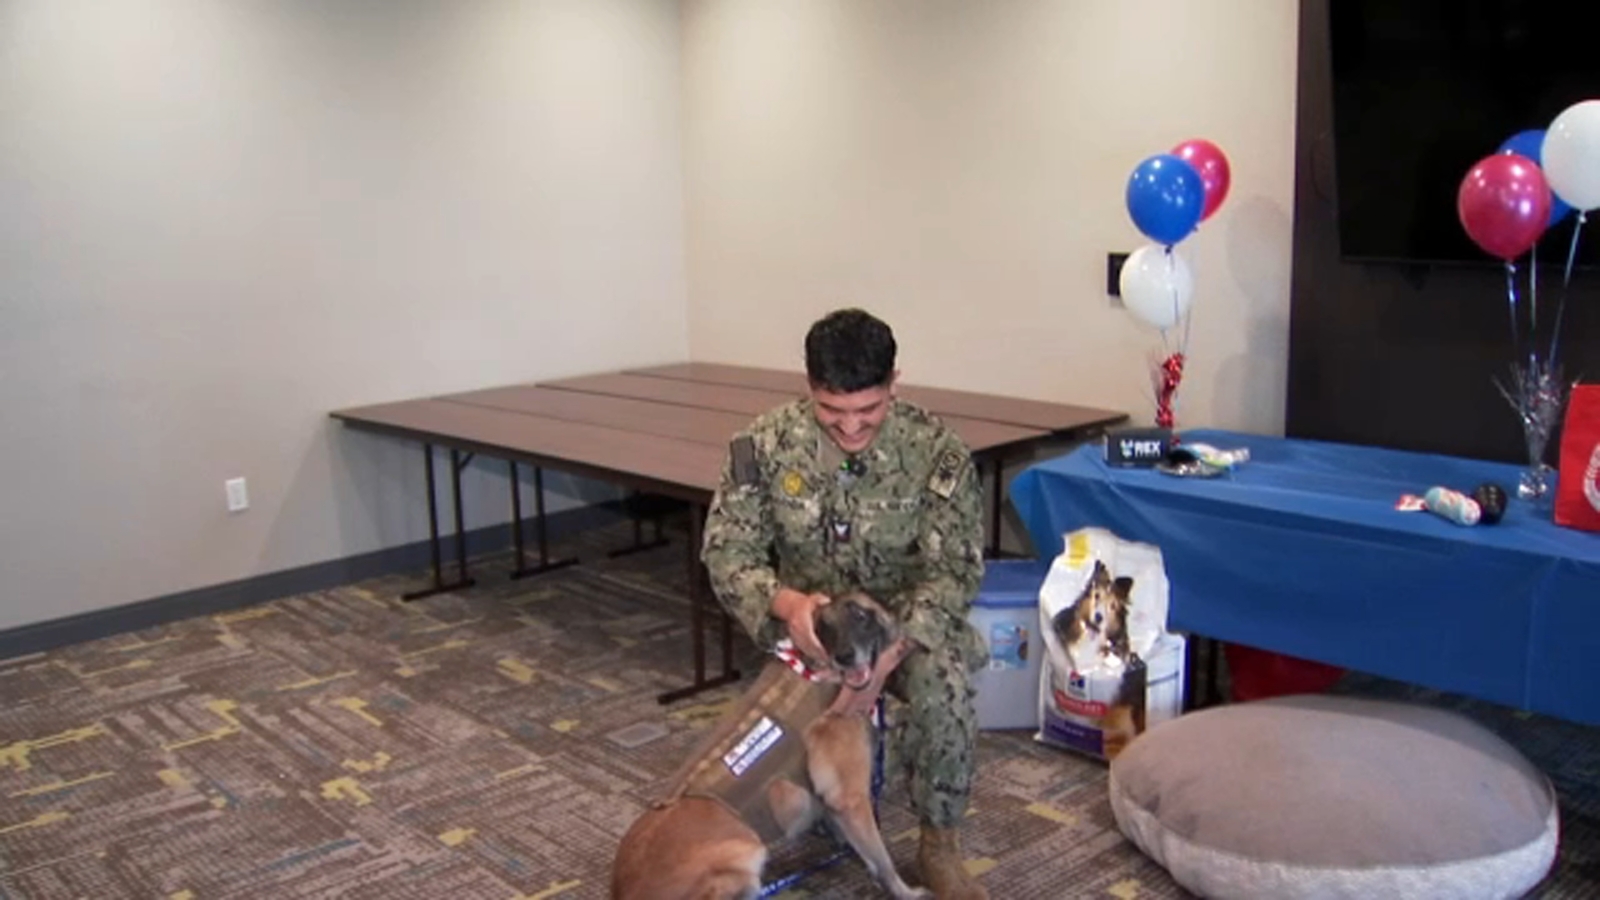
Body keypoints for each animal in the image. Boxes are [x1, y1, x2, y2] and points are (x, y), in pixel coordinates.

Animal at [614, 592, 934, 890]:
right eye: (824, 629)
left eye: (860, 616)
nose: (844, 656)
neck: (814, 666)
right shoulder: (851, 799)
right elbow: (883, 861)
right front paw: (906, 890)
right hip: (747, 854)